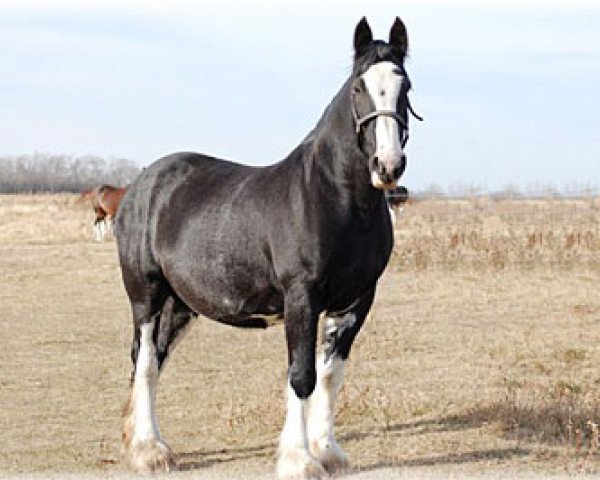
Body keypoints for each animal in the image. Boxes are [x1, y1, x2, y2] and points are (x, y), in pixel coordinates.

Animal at [115, 15, 420, 480]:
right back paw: (150, 450)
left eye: (407, 87)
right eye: (358, 86)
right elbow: (302, 376)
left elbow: (331, 376)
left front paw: (328, 451)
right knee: (146, 360)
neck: (337, 200)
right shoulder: (301, 298)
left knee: (153, 359)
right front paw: (299, 459)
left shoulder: (356, 301)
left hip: (181, 303)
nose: (387, 166)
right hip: (146, 294)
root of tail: (142, 184)